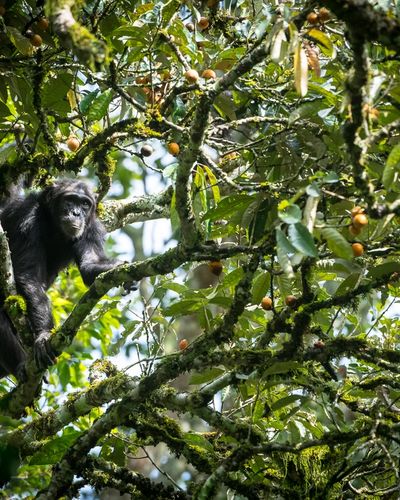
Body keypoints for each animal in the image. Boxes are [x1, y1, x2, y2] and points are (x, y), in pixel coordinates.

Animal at [0, 180, 130, 378]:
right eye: (70, 200)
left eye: (85, 204)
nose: (76, 213)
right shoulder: (26, 217)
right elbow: (30, 275)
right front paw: (44, 334)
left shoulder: (93, 229)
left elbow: (89, 266)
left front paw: (120, 268)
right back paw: (20, 366)